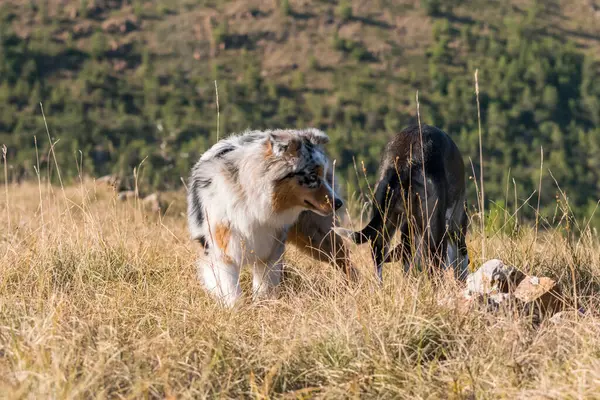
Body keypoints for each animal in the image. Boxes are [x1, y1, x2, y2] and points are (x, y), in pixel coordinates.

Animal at [186, 128, 346, 306]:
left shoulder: (270, 248)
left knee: (344, 259)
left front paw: (264, 304)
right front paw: (236, 308)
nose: (339, 203)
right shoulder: (222, 247)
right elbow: (230, 286)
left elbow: (265, 284)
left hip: (316, 235)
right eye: (312, 177)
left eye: (322, 175)